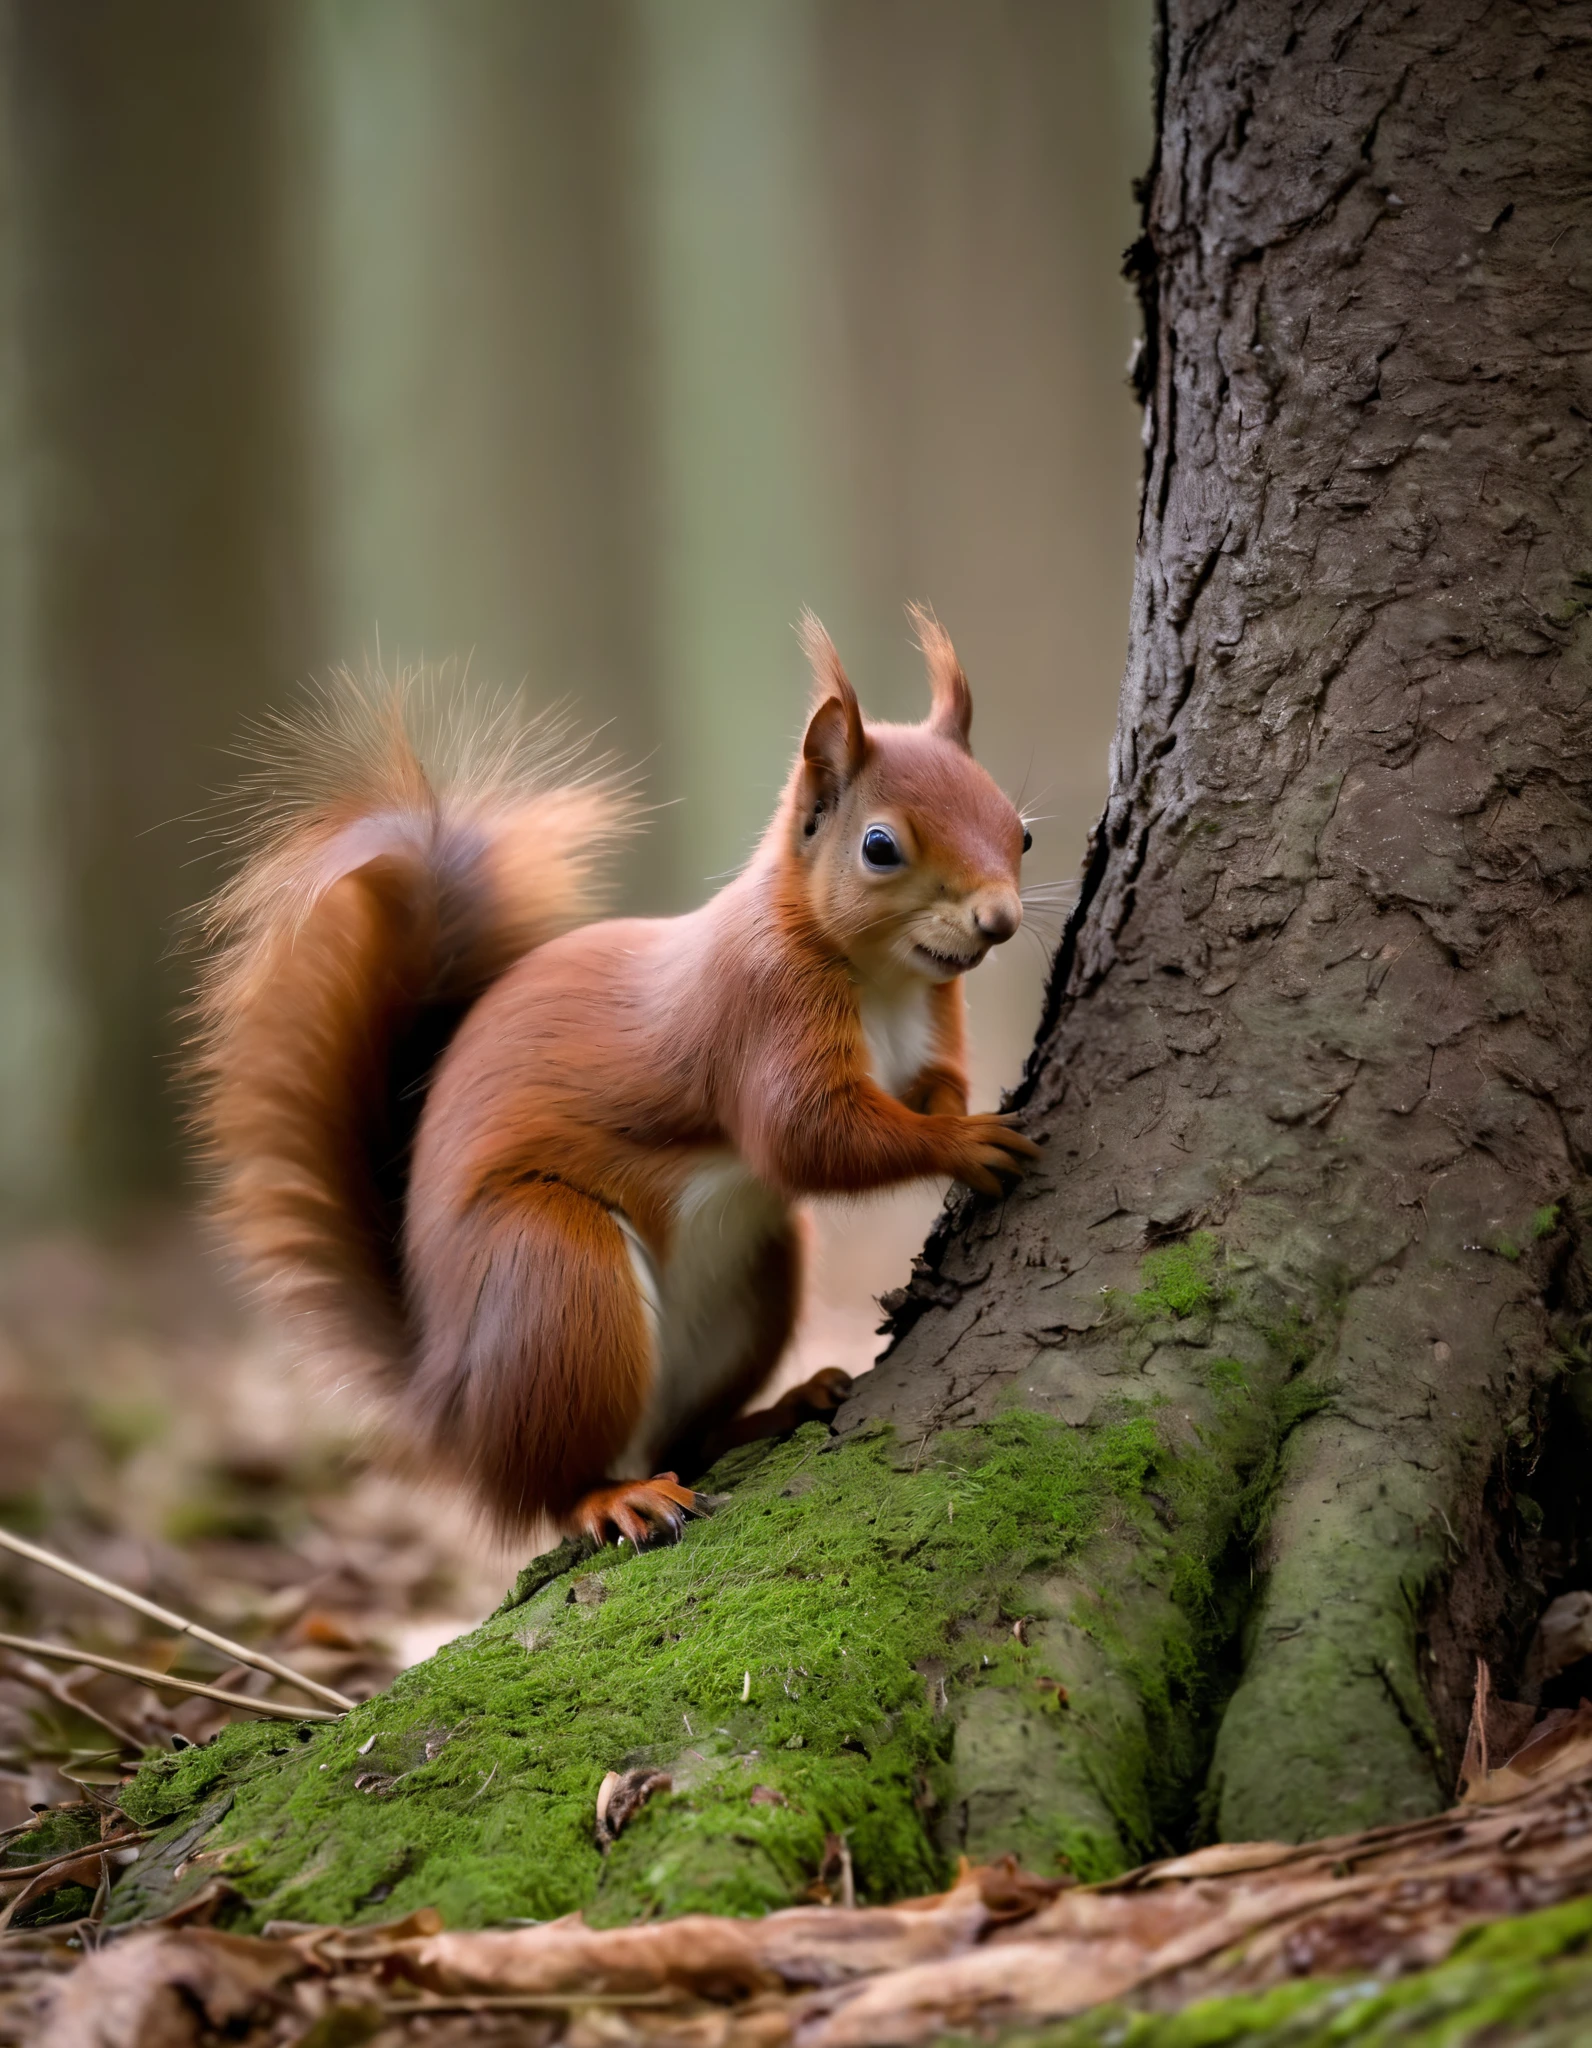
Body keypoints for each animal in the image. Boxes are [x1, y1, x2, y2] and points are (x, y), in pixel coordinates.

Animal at [192, 614, 1036, 1540]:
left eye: (1021, 831)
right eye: (879, 847)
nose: (1000, 919)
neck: (881, 979)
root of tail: (448, 1408)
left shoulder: (928, 1023)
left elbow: (922, 1088)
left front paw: (957, 1110)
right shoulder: (761, 1012)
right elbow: (808, 1139)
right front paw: (962, 1142)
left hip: (755, 1283)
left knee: (685, 1437)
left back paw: (782, 1407)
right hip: (555, 1276)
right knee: (554, 1485)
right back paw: (614, 1495)